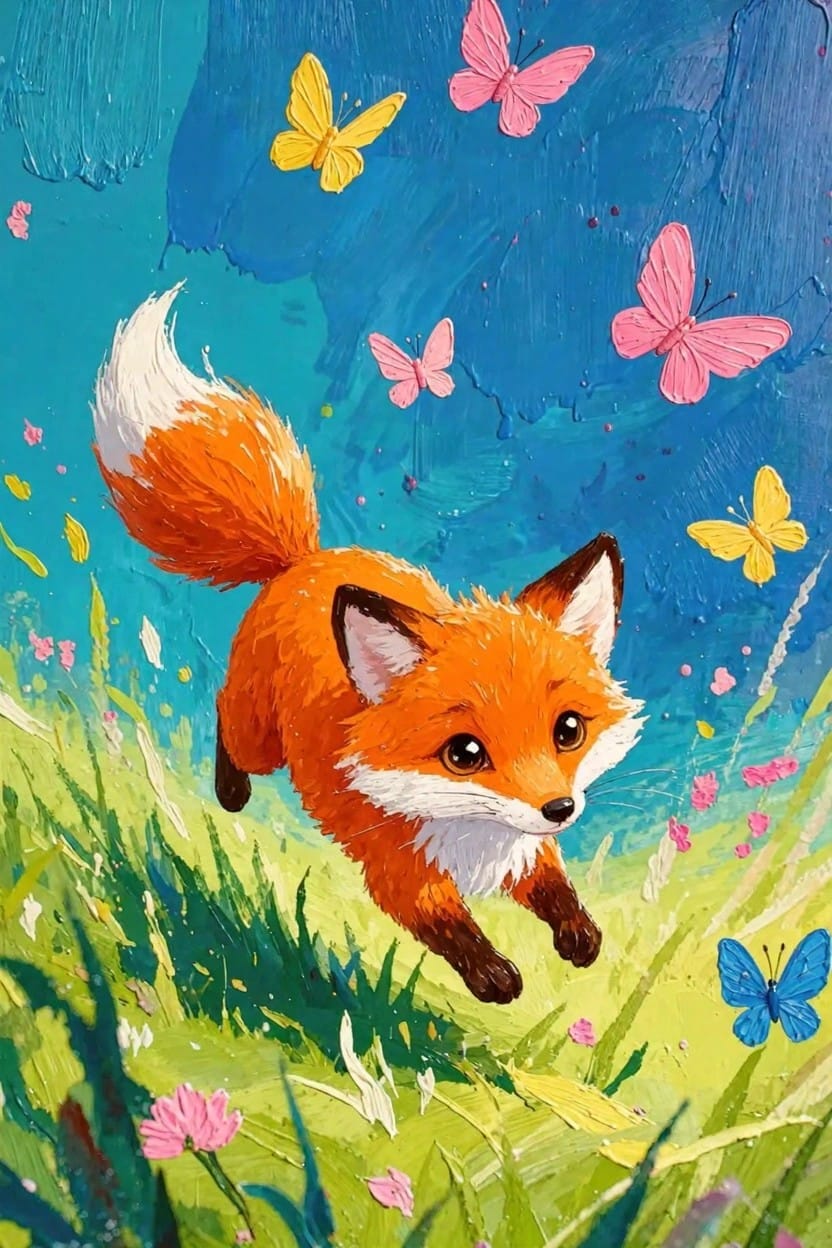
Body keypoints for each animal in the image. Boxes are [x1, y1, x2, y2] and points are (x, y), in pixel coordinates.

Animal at [92, 284, 645, 1005]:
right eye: (465, 753)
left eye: (568, 730)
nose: (560, 807)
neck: (474, 836)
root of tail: (303, 559)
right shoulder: (401, 874)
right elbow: (451, 930)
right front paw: (495, 978)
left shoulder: (528, 849)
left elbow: (555, 889)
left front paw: (580, 936)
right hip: (261, 738)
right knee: (225, 720)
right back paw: (230, 792)